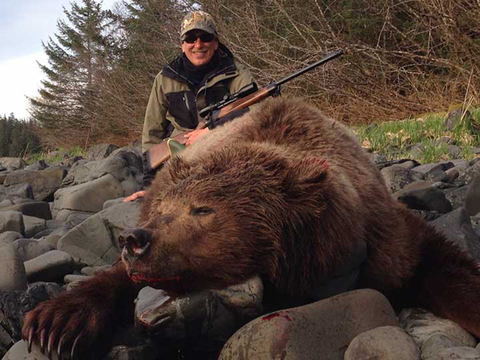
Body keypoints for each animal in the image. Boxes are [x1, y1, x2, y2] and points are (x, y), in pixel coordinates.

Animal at [23, 97, 480, 358]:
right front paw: (57, 321)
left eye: (202, 209)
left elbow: (443, 266)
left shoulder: (387, 236)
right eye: (160, 210)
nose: (134, 240)